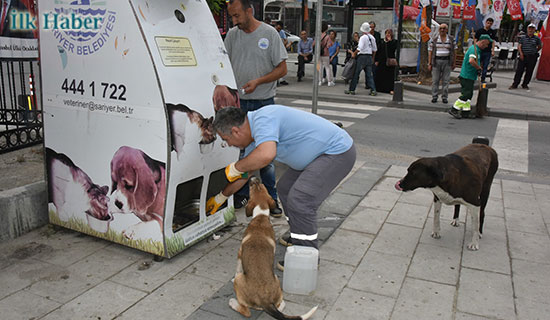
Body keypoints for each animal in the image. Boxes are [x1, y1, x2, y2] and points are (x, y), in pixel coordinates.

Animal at [231, 176, 320, 318]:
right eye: (261, 185)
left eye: (251, 187)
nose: (254, 177)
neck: (261, 216)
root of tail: (265, 301)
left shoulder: (239, 253)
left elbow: (237, 267)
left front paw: (233, 276)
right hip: (277, 280)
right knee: (281, 304)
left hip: (240, 284)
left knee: (246, 312)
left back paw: (232, 302)